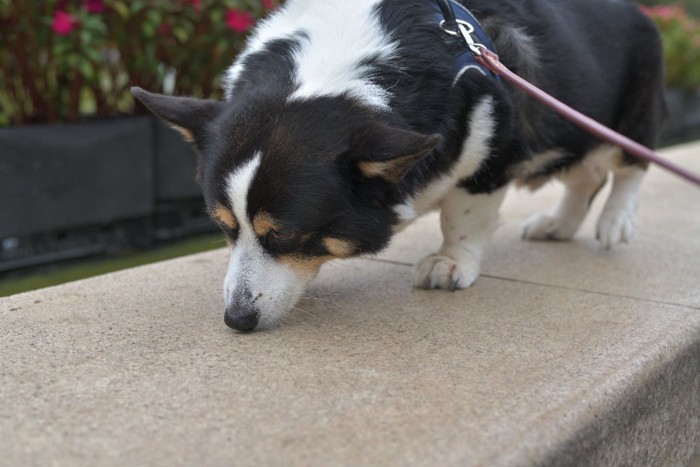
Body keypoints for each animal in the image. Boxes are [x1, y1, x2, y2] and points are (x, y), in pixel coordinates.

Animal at [133, 0, 668, 332]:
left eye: (283, 235)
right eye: (223, 228)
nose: (236, 321)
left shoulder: (490, 150)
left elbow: (464, 216)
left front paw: (451, 263)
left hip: (626, 115)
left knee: (628, 164)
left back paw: (615, 221)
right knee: (585, 175)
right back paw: (558, 225)